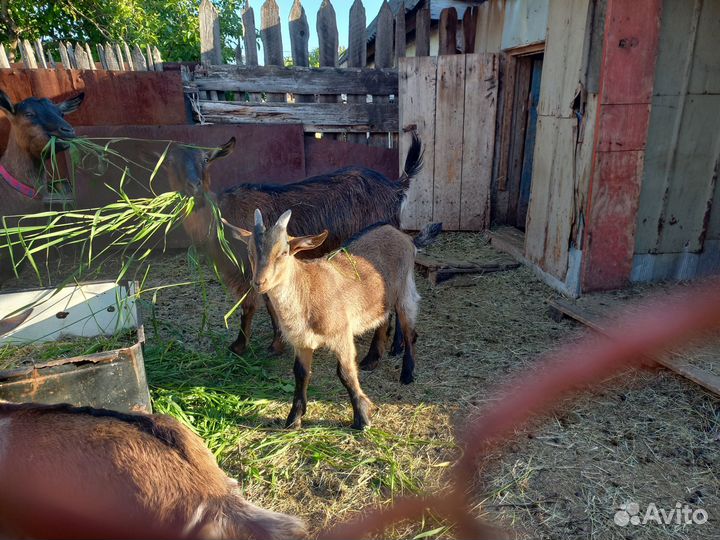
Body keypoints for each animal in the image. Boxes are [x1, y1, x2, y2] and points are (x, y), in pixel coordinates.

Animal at [163, 134, 422, 362]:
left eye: (206, 159)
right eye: (170, 162)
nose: (194, 187)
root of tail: (396, 187)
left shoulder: (252, 271)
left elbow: (253, 307)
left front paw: (248, 346)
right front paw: (264, 344)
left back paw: (396, 346)